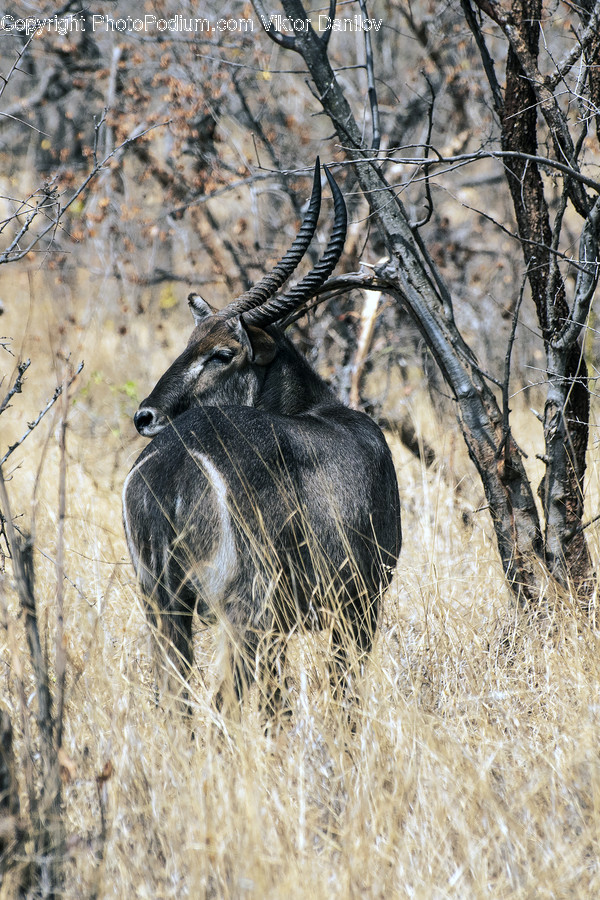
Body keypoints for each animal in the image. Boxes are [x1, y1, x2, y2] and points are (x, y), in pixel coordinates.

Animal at [122, 161, 401, 718]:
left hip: (162, 605)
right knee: (225, 701)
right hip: (247, 609)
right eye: (193, 343)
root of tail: (172, 464)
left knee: (176, 701)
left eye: (220, 352)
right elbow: (344, 696)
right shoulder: (361, 605)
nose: (145, 415)